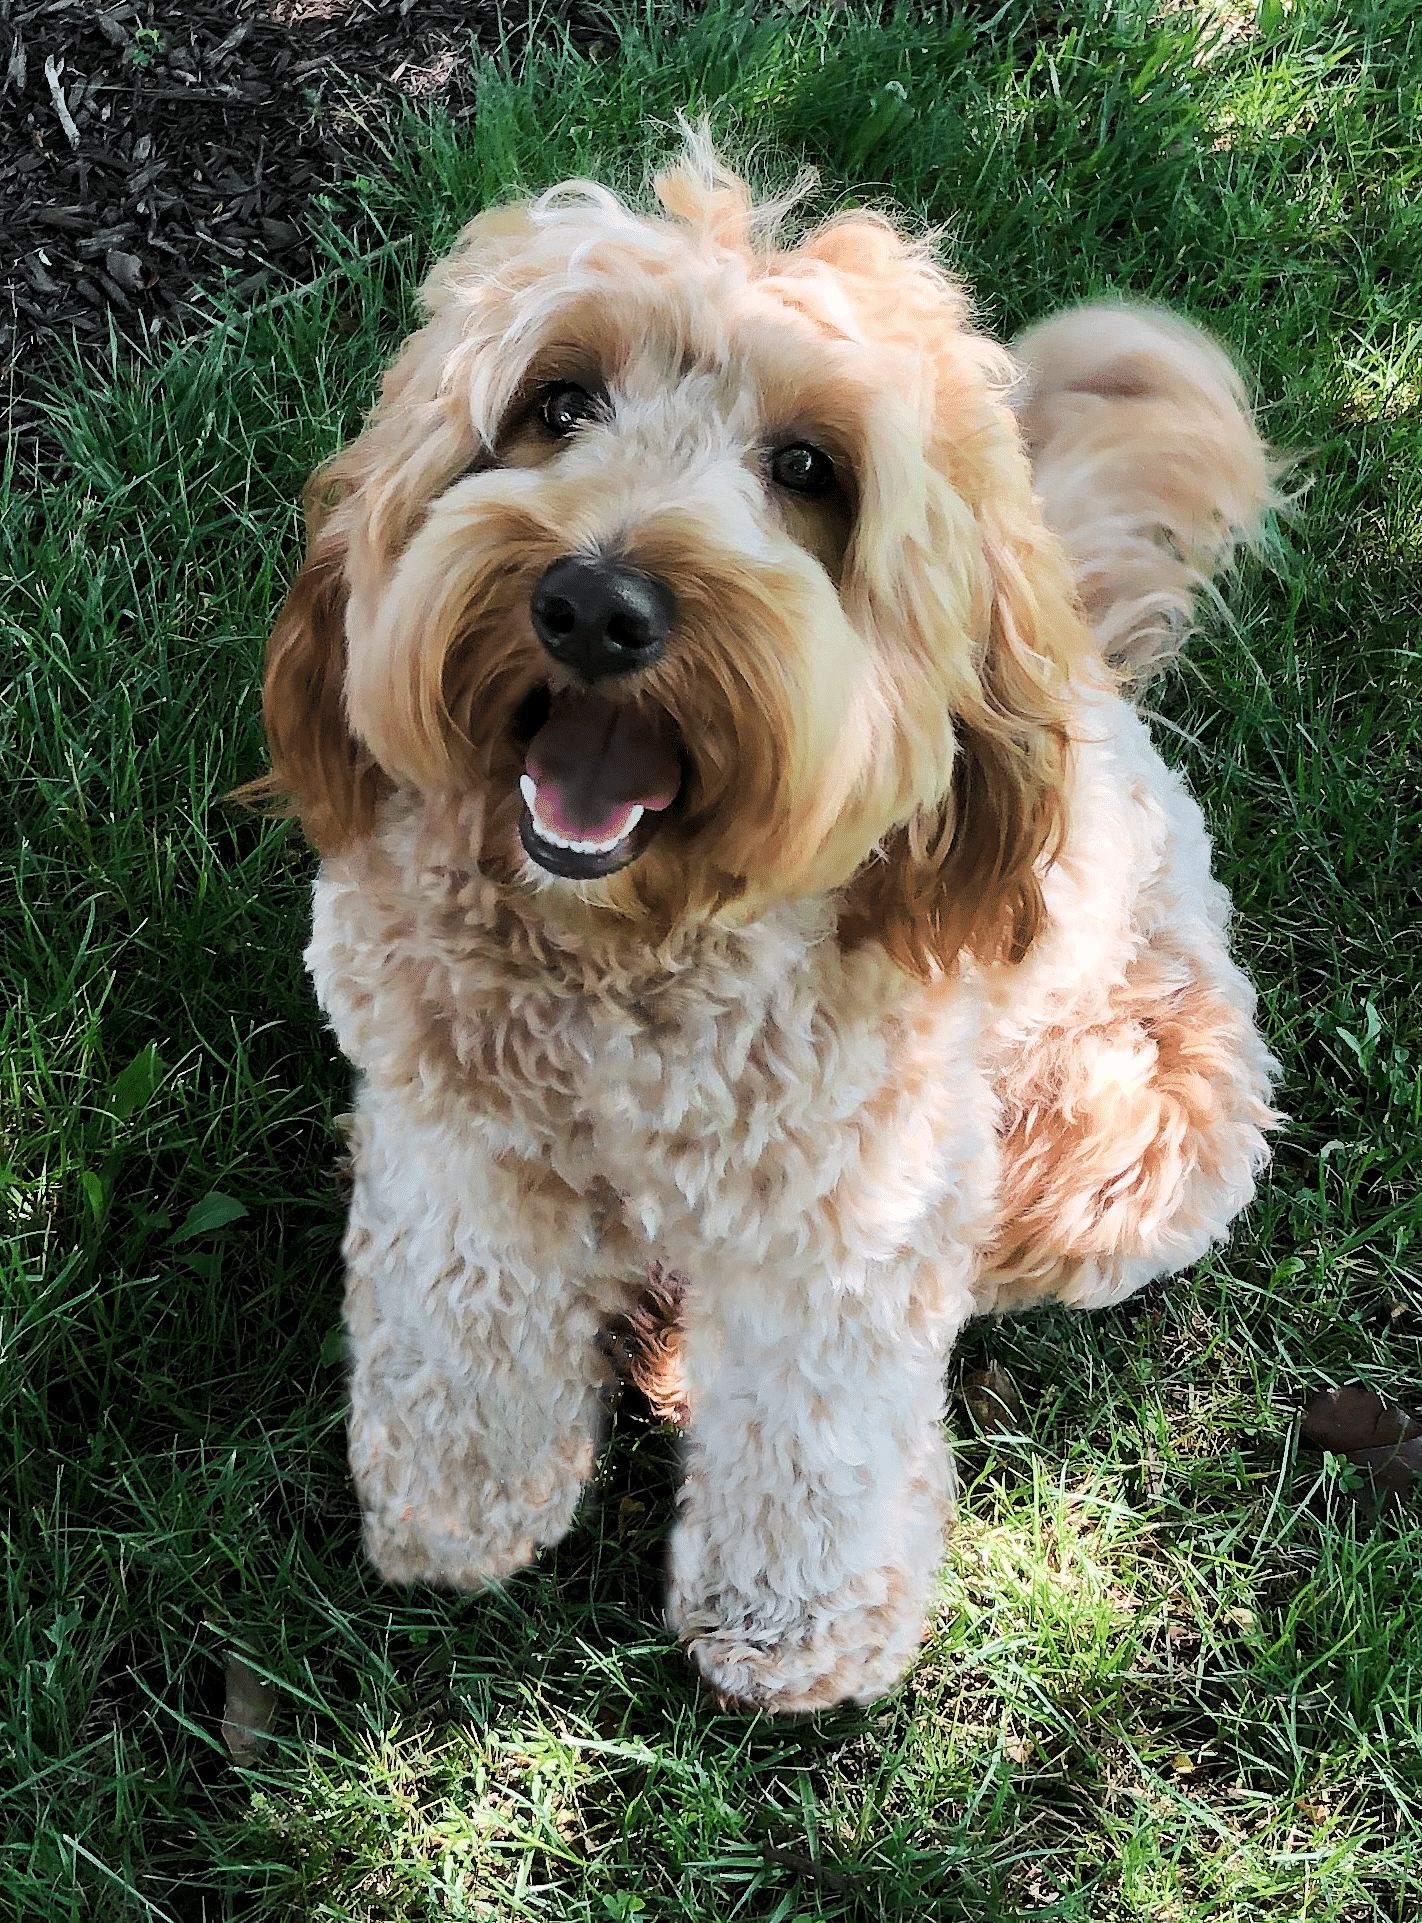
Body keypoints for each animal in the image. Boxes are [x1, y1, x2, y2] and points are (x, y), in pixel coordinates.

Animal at [253, 131, 1277, 1715]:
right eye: (558, 404)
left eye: (808, 469)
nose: (595, 602)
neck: (628, 953)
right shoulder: (454, 1138)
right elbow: (461, 1320)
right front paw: (460, 1504)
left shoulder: (848, 1214)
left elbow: (816, 1426)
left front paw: (790, 1626)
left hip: (1131, 1146)